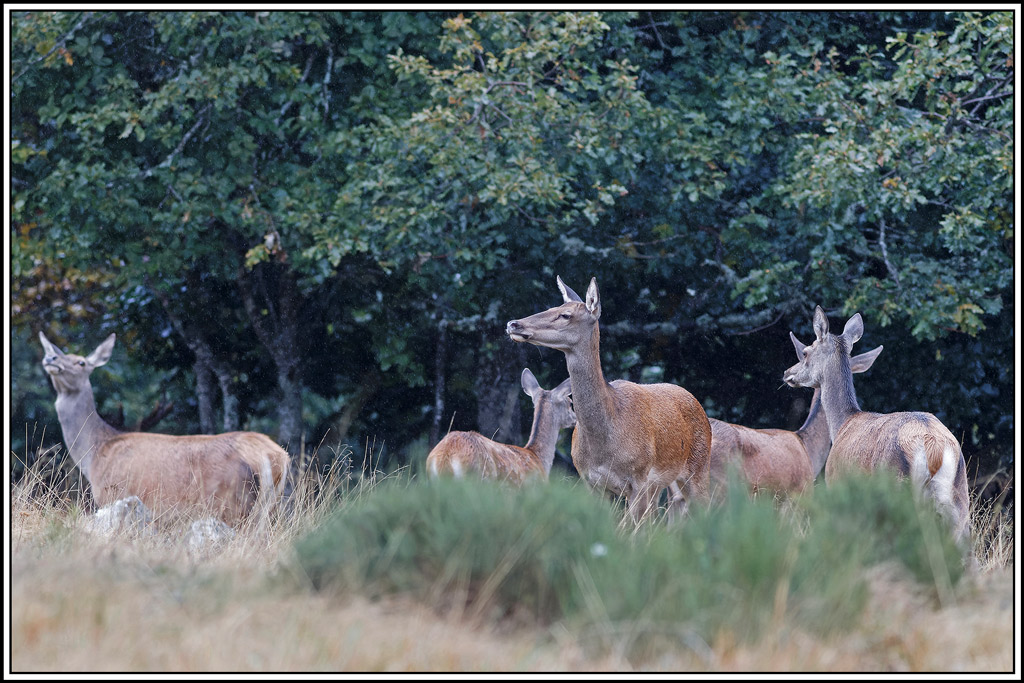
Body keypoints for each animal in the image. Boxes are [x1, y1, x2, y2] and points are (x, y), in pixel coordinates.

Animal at [38, 331, 290, 526]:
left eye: (81, 362)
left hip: (231, 500)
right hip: (268, 507)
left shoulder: (113, 495)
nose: (50, 358)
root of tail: (272, 455)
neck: (95, 453)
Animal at [506, 276, 711, 523]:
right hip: (660, 486)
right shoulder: (590, 481)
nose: (513, 324)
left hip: (698, 469)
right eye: (551, 307)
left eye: (565, 315)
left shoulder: (639, 478)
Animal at [782, 306, 971, 542]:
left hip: (897, 489)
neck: (843, 423)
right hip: (960, 500)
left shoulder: (835, 483)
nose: (787, 372)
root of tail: (933, 447)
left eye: (806, 352)